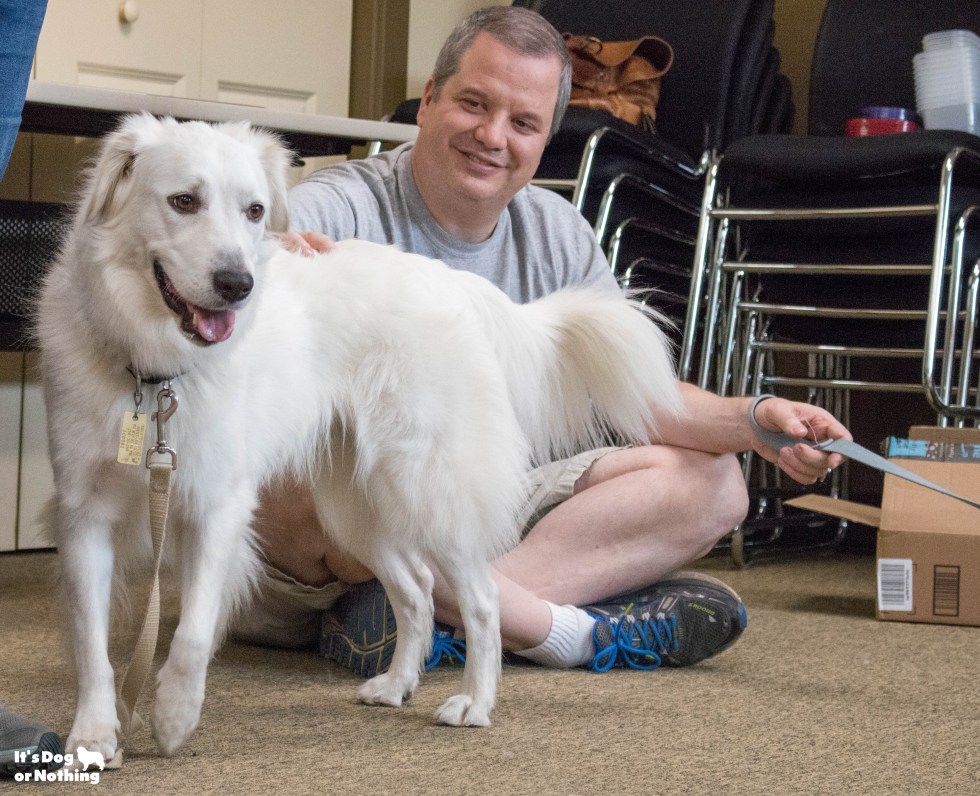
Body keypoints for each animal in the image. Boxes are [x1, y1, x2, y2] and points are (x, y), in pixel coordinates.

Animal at [38, 113, 680, 760]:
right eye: (183, 201)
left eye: (254, 210)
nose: (238, 284)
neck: (154, 375)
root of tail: (451, 281)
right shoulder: (83, 517)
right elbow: (91, 646)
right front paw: (93, 732)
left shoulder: (216, 508)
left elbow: (192, 632)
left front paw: (172, 715)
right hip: (356, 509)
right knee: (417, 590)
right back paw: (397, 685)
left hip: (428, 491)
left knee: (480, 599)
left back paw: (475, 702)